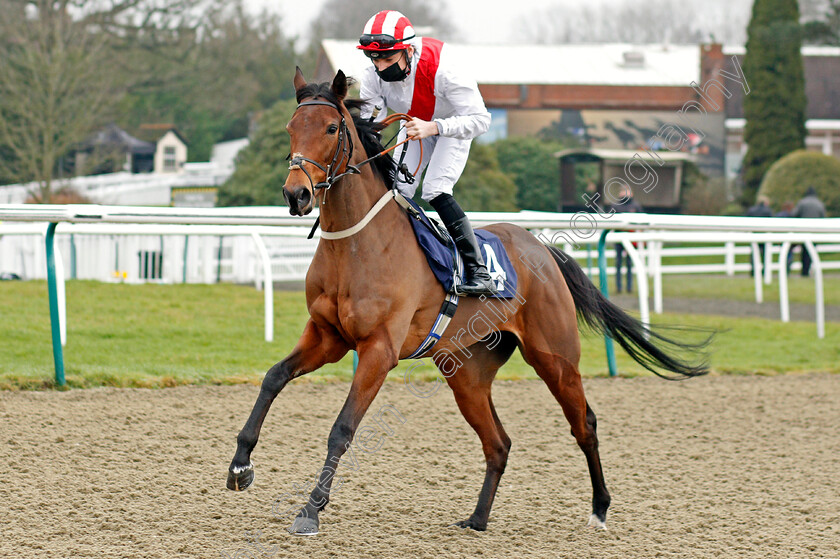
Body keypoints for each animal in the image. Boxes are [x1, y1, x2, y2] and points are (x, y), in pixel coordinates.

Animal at [225, 68, 708, 536]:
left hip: (555, 358)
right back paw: (477, 519)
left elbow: (342, 427)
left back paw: (600, 509)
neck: (358, 245)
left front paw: (311, 509)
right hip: (467, 373)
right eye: (291, 128)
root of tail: (541, 248)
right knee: (499, 443)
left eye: (330, 127)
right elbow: (272, 378)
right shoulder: (327, 337)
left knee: (584, 424)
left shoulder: (378, 350)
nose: (296, 194)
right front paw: (240, 466)